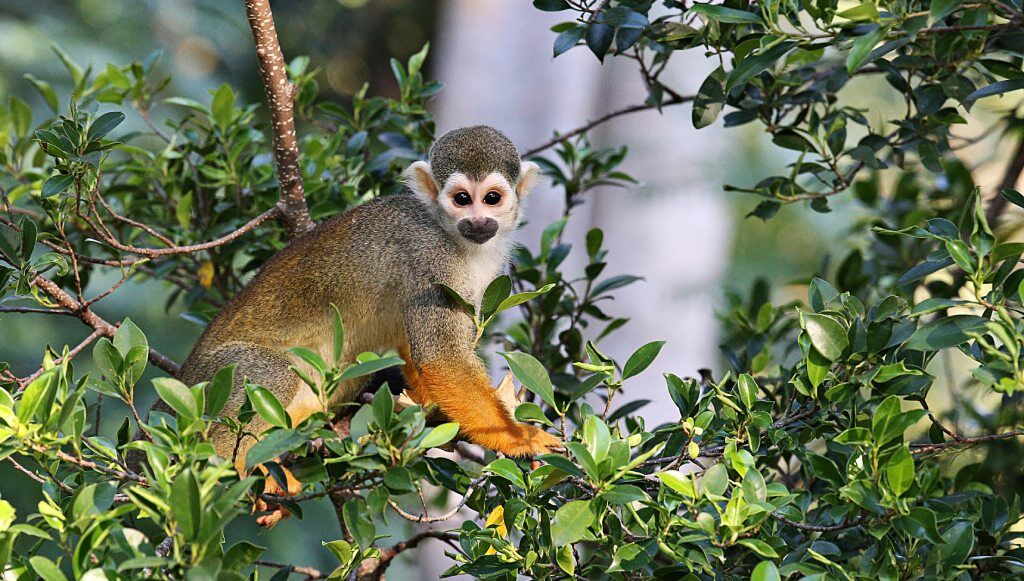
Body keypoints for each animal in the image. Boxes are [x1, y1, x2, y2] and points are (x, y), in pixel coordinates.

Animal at [172, 123, 565, 481]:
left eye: (492, 199)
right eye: (462, 199)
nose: (479, 221)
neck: (452, 235)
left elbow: (415, 344)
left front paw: (427, 405)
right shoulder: (430, 257)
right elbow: (441, 356)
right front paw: (517, 436)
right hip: (209, 383)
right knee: (273, 375)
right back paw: (231, 471)